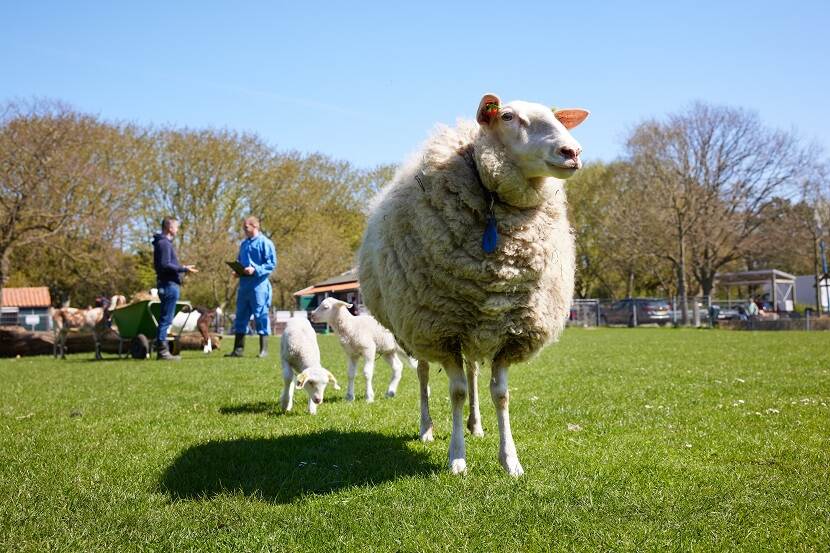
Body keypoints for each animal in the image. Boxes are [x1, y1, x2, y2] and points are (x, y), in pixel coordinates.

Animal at [357, 93, 589, 476]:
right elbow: (456, 393)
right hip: (417, 328)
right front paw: (457, 458)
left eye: (558, 118)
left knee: (473, 371)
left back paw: (476, 424)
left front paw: (510, 460)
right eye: (507, 117)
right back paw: (427, 428)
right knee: (423, 373)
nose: (572, 151)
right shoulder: (442, 330)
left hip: (476, 324)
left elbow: (500, 394)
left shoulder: (511, 332)